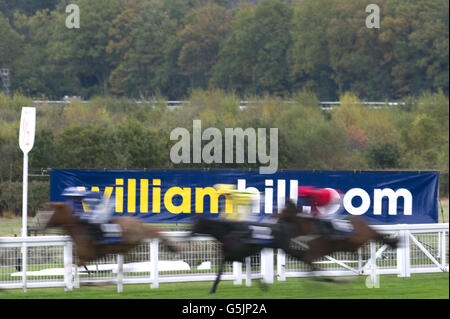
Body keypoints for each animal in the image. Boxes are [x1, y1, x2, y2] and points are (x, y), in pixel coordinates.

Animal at [45, 204, 179, 282]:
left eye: (53, 213)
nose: (45, 225)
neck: (80, 230)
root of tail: (139, 223)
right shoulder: (83, 256)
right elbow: (72, 264)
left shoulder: (90, 256)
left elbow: (74, 265)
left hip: (129, 242)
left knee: (131, 260)